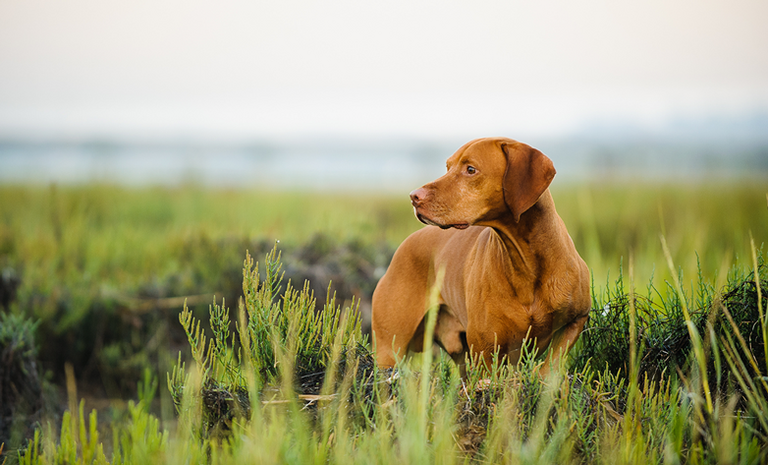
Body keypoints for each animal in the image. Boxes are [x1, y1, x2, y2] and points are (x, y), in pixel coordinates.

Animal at [368, 136, 592, 372]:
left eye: (470, 169)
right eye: (448, 167)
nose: (414, 196)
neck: (526, 262)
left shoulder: (576, 320)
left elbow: (550, 368)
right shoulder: (485, 352)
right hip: (388, 351)